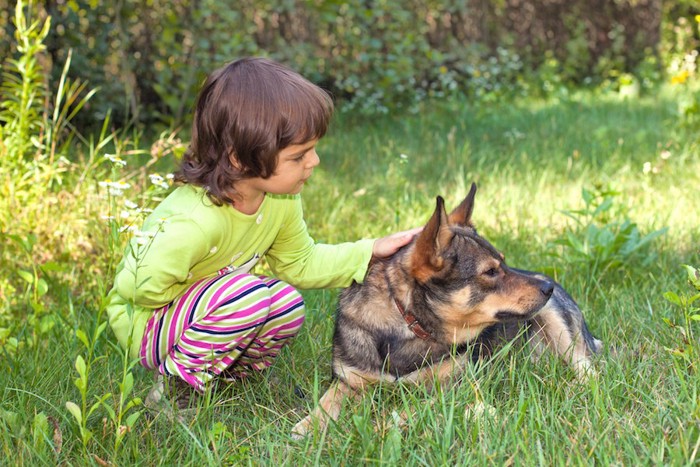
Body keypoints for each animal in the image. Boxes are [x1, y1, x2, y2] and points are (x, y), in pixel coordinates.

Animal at [292, 185, 604, 440]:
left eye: (503, 262)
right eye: (490, 271)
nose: (547, 285)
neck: (409, 325)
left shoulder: (455, 388)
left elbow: (410, 409)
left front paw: (380, 425)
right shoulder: (348, 380)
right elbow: (328, 401)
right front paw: (309, 425)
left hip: (558, 324)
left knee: (587, 369)